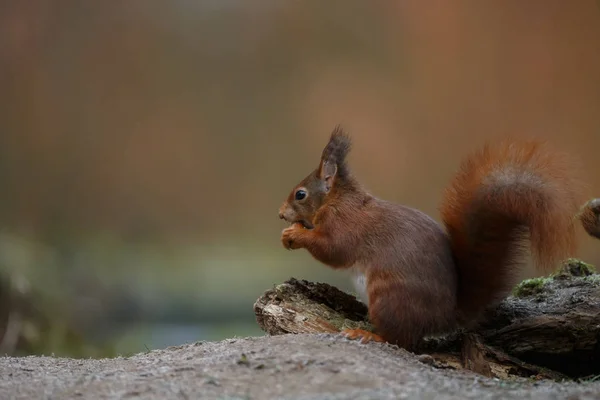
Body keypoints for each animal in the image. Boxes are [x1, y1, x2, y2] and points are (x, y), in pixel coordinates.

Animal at [278, 127, 584, 350]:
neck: (336, 200)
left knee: (403, 340)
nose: (280, 214)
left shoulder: (345, 225)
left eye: (300, 194)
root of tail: (446, 316)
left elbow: (332, 250)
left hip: (389, 298)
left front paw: (295, 234)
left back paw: (369, 335)